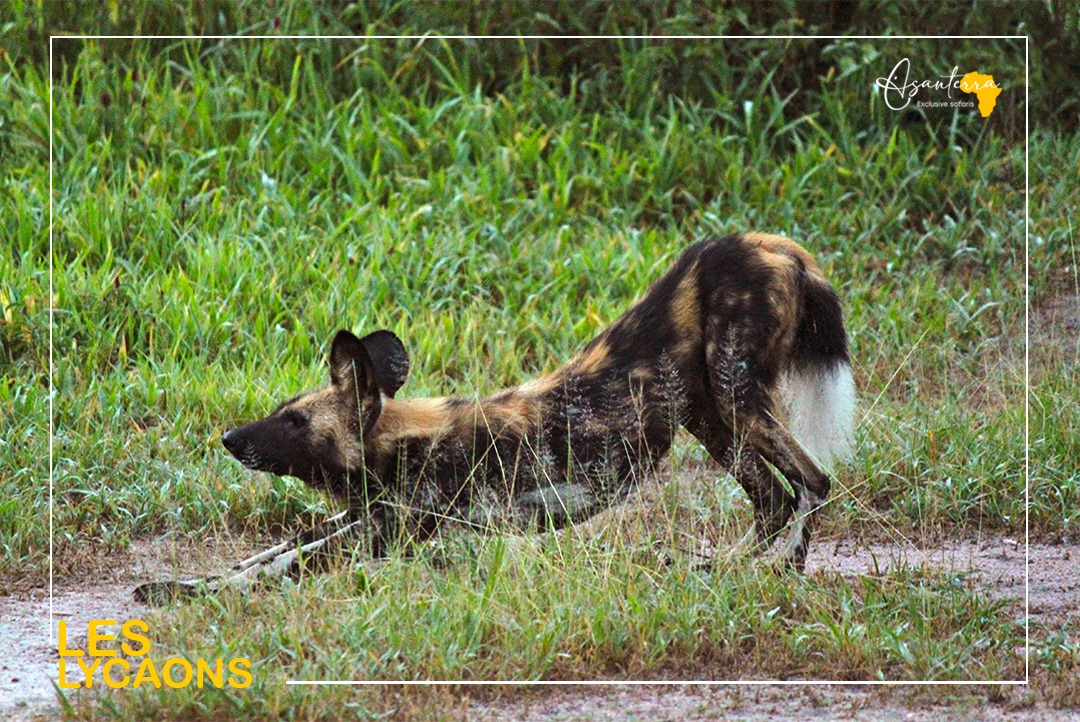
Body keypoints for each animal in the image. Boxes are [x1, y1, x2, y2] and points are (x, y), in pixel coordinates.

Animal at [135, 232, 855, 604]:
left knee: (812, 482)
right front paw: (176, 587)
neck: (400, 443)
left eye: (293, 422)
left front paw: (200, 596)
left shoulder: (386, 531)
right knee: (771, 498)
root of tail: (773, 245)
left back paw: (779, 574)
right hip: (709, 418)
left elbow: (277, 567)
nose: (230, 437)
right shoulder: (360, 517)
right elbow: (265, 554)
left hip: (736, 396)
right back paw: (721, 570)